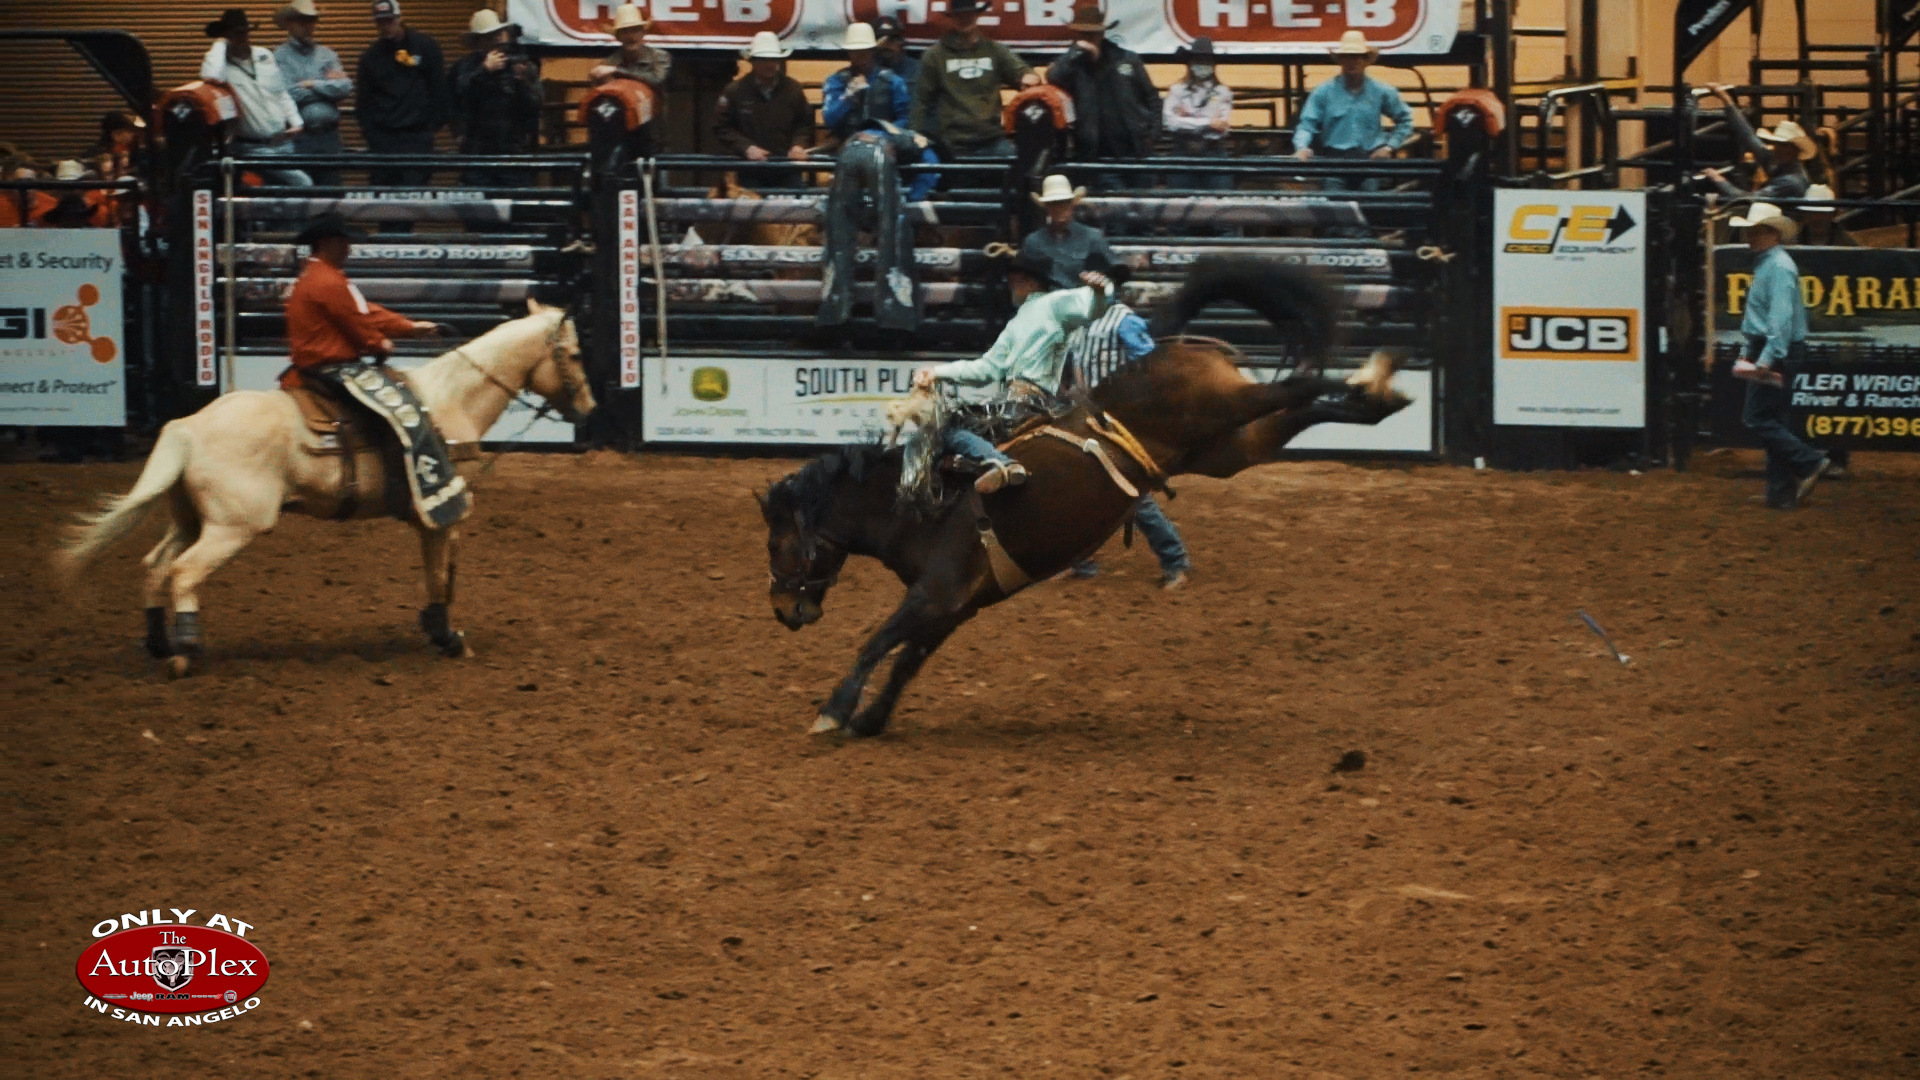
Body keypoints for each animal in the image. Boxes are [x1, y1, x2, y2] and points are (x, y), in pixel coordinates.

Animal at [55, 299, 594, 678]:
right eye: (573, 353)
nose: (589, 408)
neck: (448, 401)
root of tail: (186, 427)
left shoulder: (427, 520)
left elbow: (435, 572)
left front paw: (437, 629)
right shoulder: (440, 511)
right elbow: (443, 574)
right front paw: (449, 638)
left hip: (189, 518)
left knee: (155, 565)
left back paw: (159, 643)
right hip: (232, 527)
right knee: (183, 572)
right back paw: (186, 651)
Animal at [759, 259, 1410, 737]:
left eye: (779, 543)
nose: (783, 611)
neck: (917, 499)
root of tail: (1171, 346)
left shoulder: (935, 592)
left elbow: (878, 642)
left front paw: (834, 712)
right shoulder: (954, 606)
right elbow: (906, 660)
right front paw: (871, 718)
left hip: (1223, 411)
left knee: (1300, 383)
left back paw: (1372, 377)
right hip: (1226, 447)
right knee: (1297, 408)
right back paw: (1378, 399)